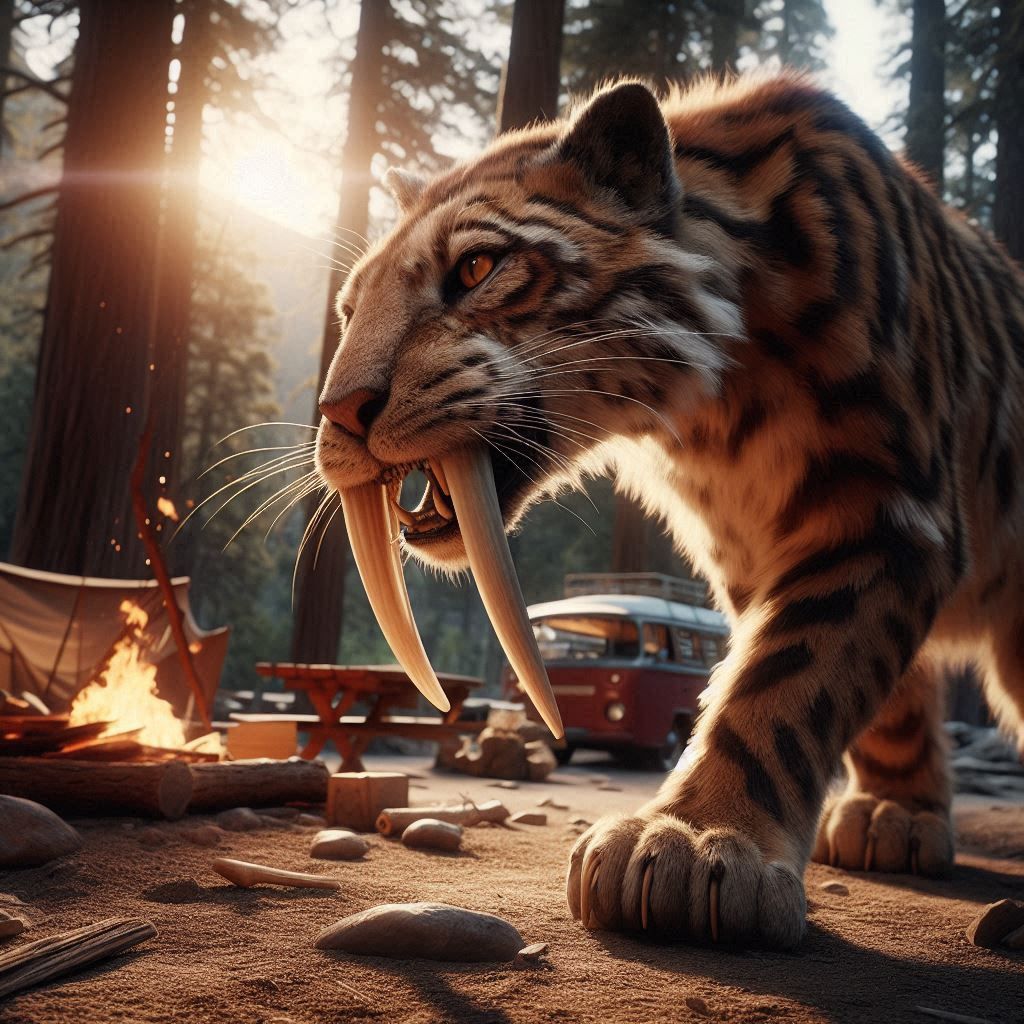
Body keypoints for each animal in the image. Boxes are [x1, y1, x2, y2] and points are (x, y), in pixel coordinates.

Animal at [313, 71, 1024, 949]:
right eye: (350, 309)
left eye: (477, 267)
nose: (339, 412)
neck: (718, 403)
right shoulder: (757, 550)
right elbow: (853, 688)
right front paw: (891, 810)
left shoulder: (885, 505)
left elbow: (787, 678)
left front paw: (695, 842)